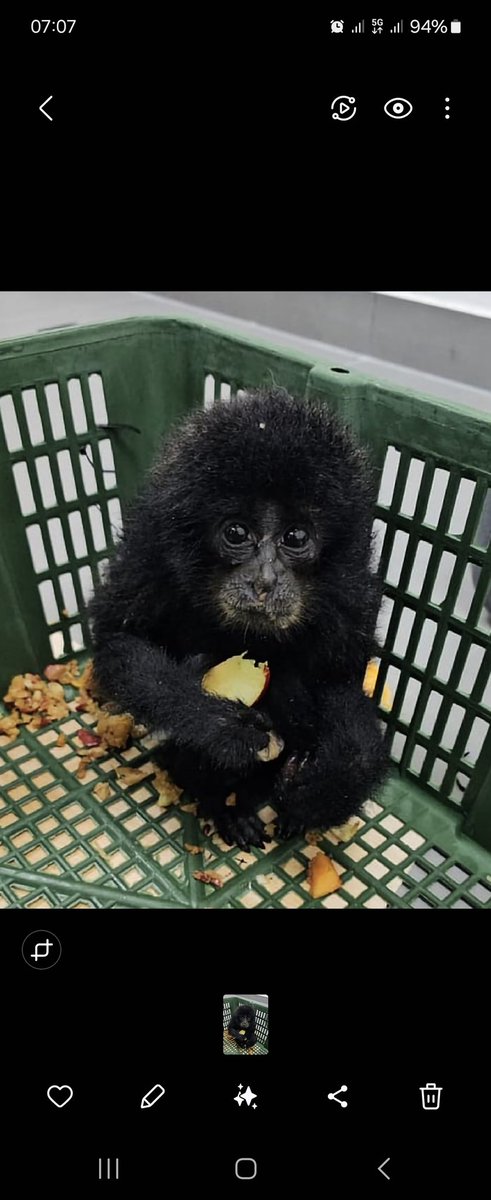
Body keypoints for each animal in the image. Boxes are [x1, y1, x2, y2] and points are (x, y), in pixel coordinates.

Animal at [88, 387, 389, 850]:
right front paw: (222, 726)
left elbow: (339, 680)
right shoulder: (151, 550)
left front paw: (328, 786)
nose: (264, 580)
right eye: (236, 533)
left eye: (295, 537)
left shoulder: (351, 591)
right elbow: (118, 642)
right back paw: (221, 804)